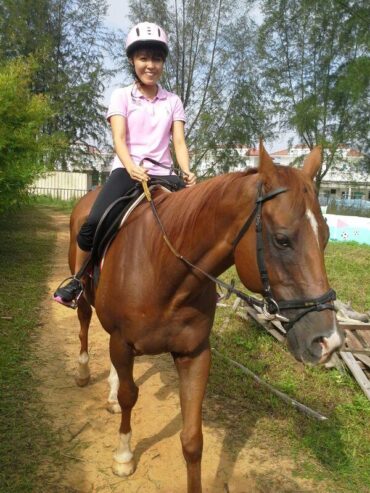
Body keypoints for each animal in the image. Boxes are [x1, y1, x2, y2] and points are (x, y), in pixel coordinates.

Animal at [66, 143, 344, 492]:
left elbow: (192, 440)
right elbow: (131, 396)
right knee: (84, 325)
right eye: (282, 239)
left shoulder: (194, 353)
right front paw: (124, 457)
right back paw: (83, 372)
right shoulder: (123, 341)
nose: (328, 342)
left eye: (326, 236)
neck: (163, 269)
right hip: (84, 297)